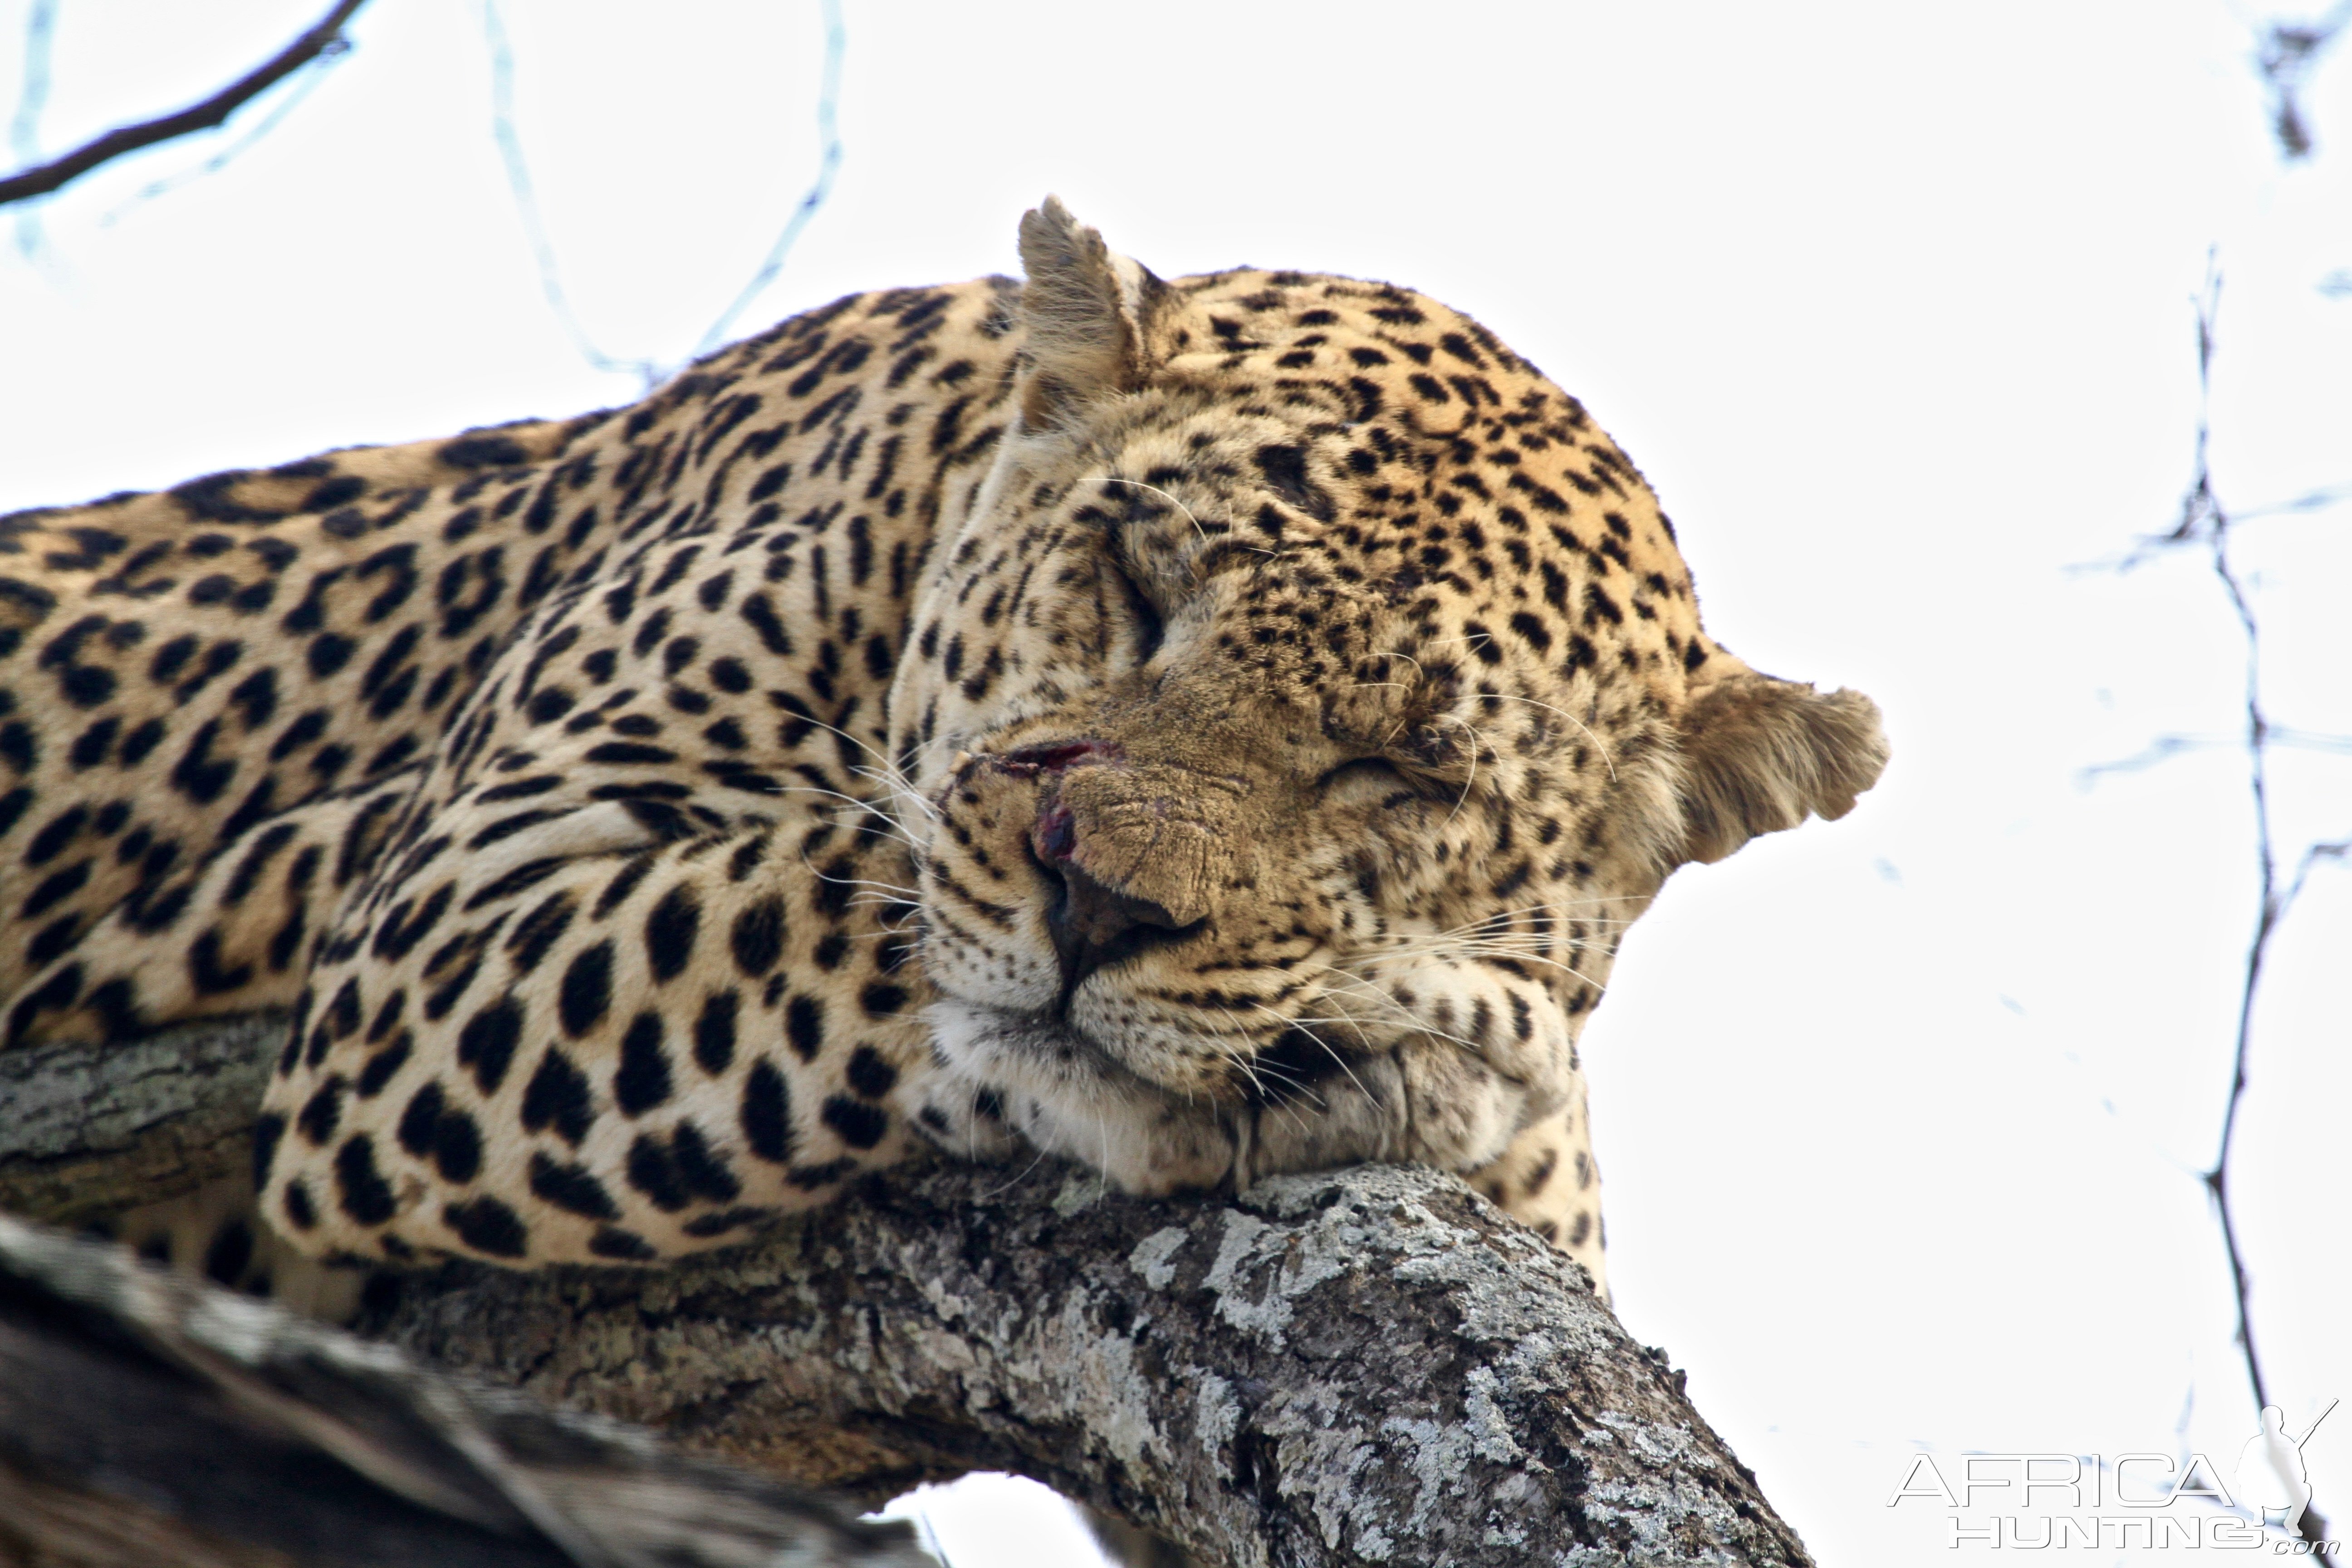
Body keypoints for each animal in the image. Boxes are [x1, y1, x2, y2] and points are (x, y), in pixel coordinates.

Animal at [0, 200, 1872, 1316]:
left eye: (1402, 777)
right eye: (1137, 584)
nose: (1102, 909)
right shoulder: (449, 919)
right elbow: (831, 912)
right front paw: (1411, 1043)